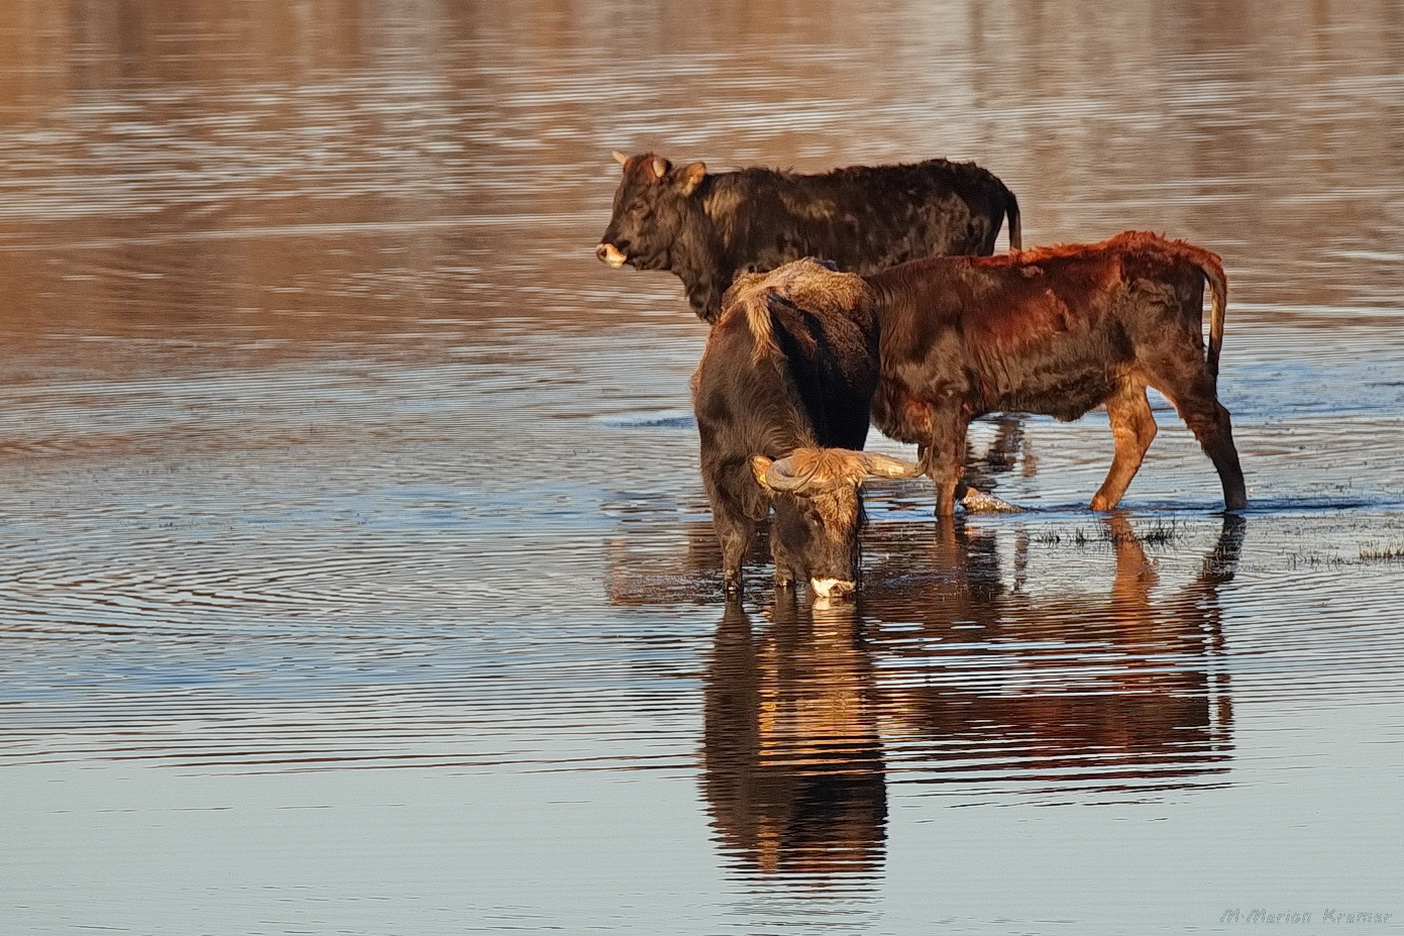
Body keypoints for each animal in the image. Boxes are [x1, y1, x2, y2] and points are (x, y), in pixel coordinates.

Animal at [690, 253, 921, 600]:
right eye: (812, 517)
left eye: (856, 520)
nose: (840, 585)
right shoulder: (716, 472)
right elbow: (734, 540)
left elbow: (781, 550)